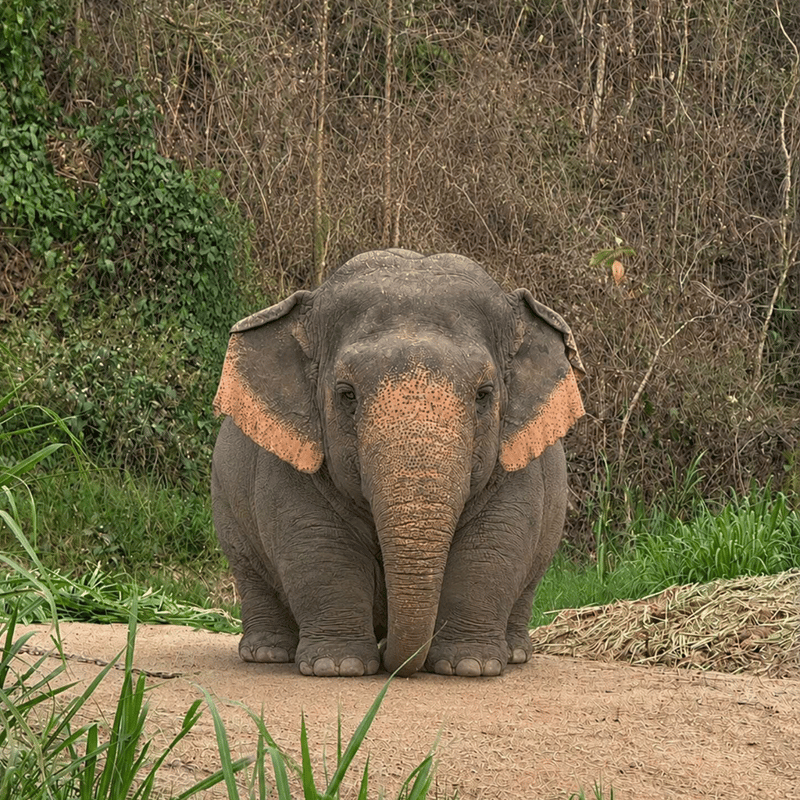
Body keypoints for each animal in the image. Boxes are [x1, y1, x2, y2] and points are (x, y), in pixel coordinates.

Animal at [211, 249, 584, 678]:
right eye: (347, 394)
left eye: (484, 394)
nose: (395, 659)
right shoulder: (291, 459)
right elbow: (318, 544)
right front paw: (337, 666)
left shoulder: (516, 460)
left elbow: (493, 543)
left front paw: (470, 666)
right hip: (226, 505)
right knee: (250, 571)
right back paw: (268, 654)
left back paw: (516, 653)